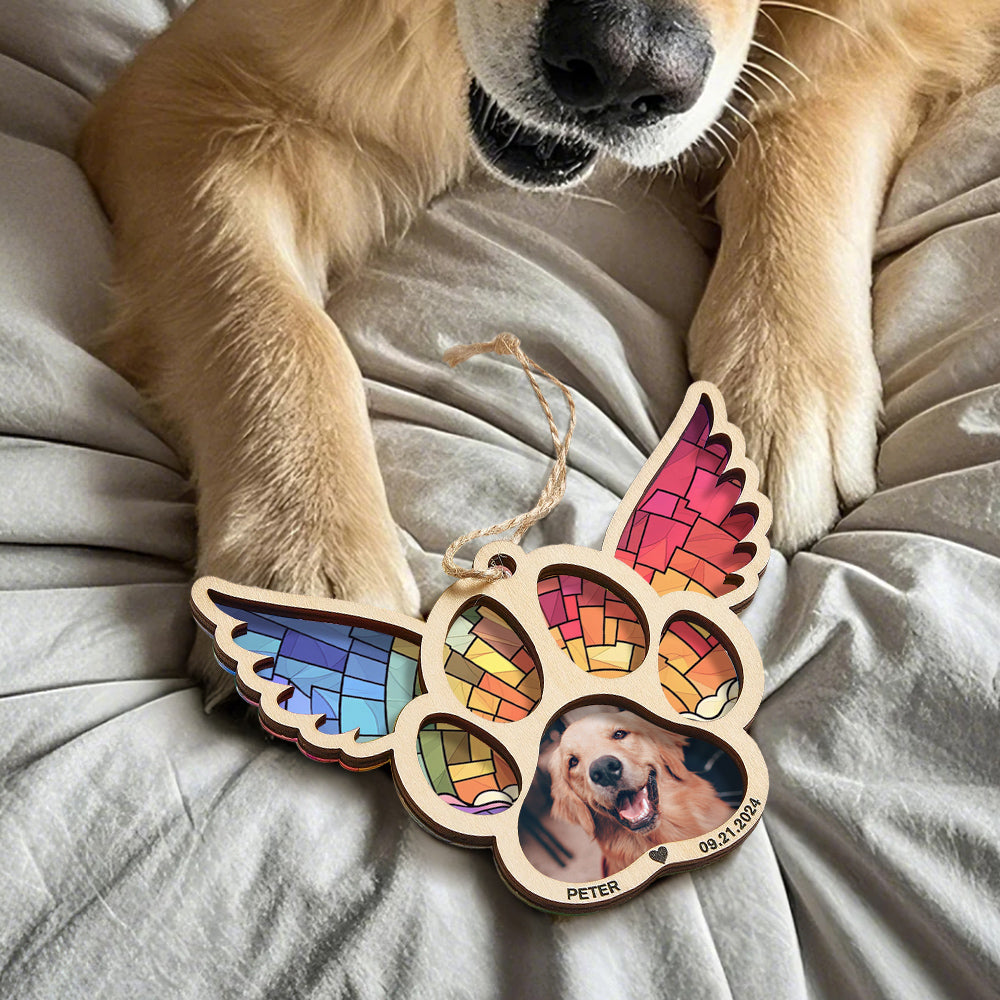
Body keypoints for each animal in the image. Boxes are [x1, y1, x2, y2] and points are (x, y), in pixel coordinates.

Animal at [78, 0, 1000, 704]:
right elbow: (274, 319)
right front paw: (305, 557)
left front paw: (787, 376)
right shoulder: (197, 94)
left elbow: (811, 101)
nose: (626, 69)